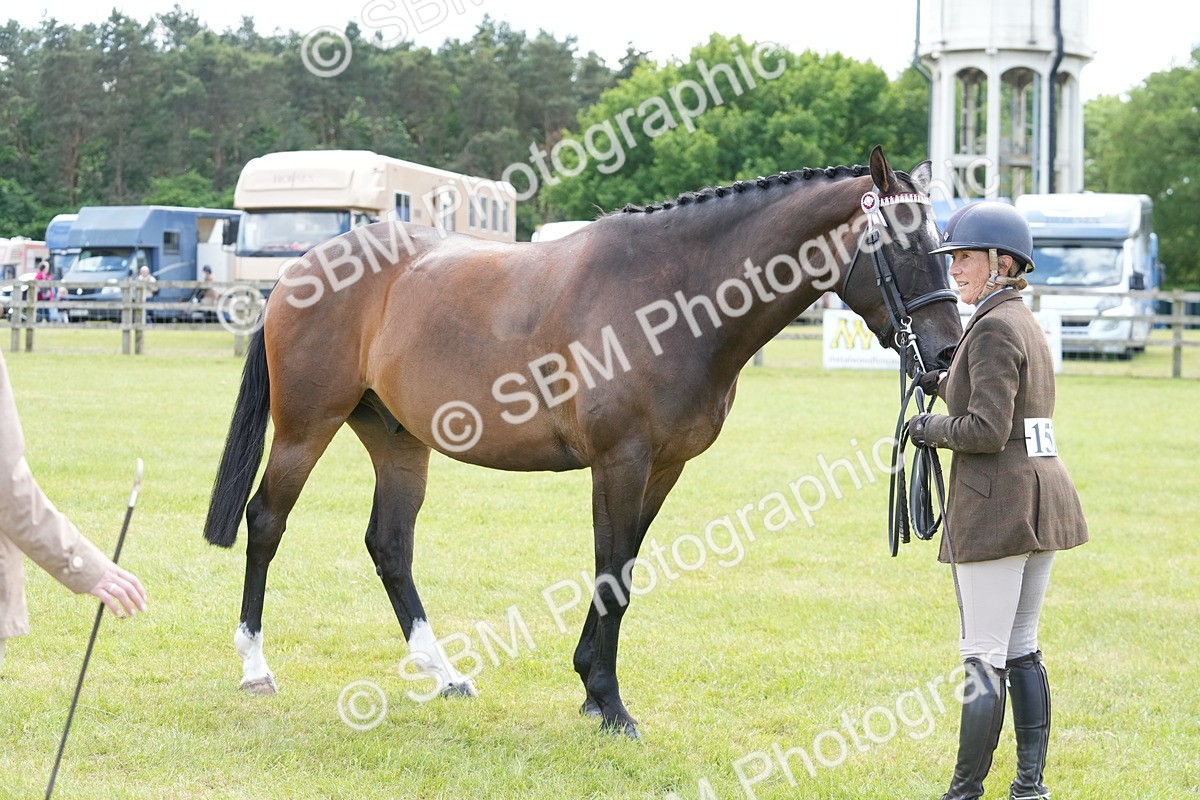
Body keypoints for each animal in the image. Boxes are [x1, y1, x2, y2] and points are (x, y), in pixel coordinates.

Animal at [204, 146, 962, 738]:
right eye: (900, 246)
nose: (946, 355)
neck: (674, 298)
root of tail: (301, 269)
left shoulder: (663, 468)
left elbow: (621, 571)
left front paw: (592, 691)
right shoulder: (619, 462)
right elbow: (610, 573)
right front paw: (611, 704)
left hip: (398, 442)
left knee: (390, 546)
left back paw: (444, 673)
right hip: (306, 428)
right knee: (265, 522)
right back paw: (256, 667)